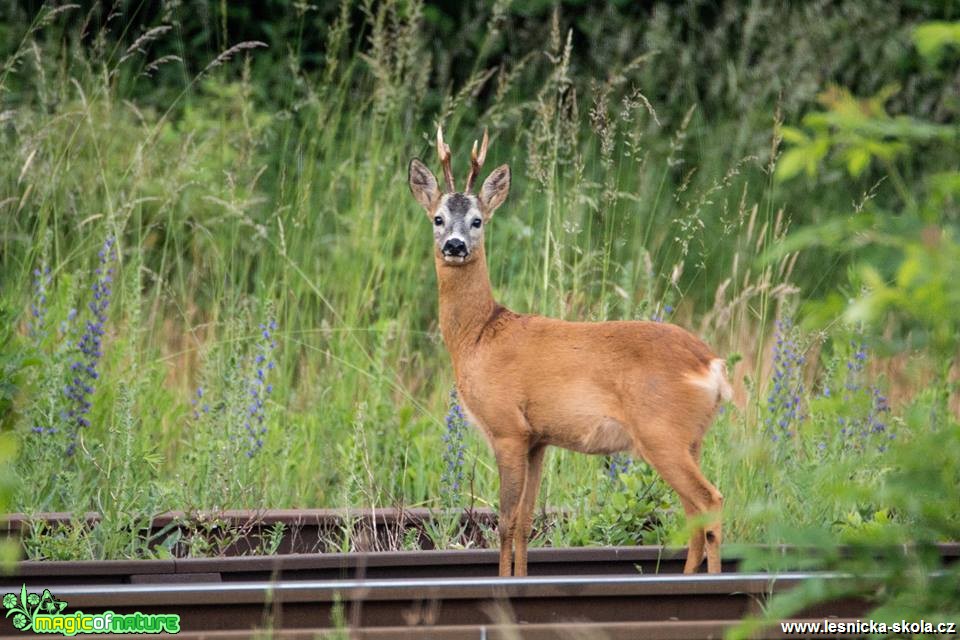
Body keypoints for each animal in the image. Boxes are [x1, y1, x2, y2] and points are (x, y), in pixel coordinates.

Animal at [408, 127, 732, 576]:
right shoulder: (538, 439)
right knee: (694, 515)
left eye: (477, 220)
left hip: (661, 432)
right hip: (690, 438)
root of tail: (712, 365)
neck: (480, 336)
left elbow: (505, 521)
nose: (455, 245)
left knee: (710, 502)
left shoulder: (507, 427)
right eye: (437, 218)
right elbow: (525, 522)